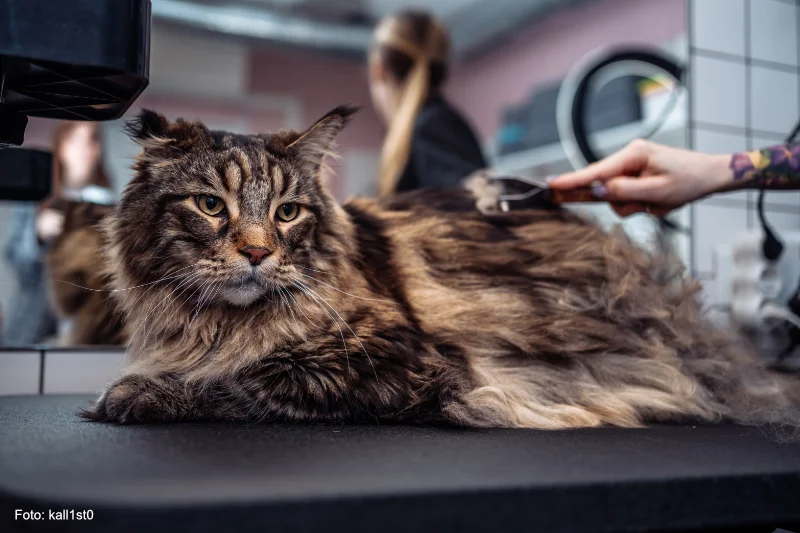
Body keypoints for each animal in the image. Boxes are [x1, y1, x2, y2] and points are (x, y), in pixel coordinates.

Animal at [83, 106, 800, 430]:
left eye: (287, 213)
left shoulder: (395, 364)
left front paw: (136, 393)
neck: (217, 325)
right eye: (211, 205)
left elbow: (246, 382)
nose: (258, 252)